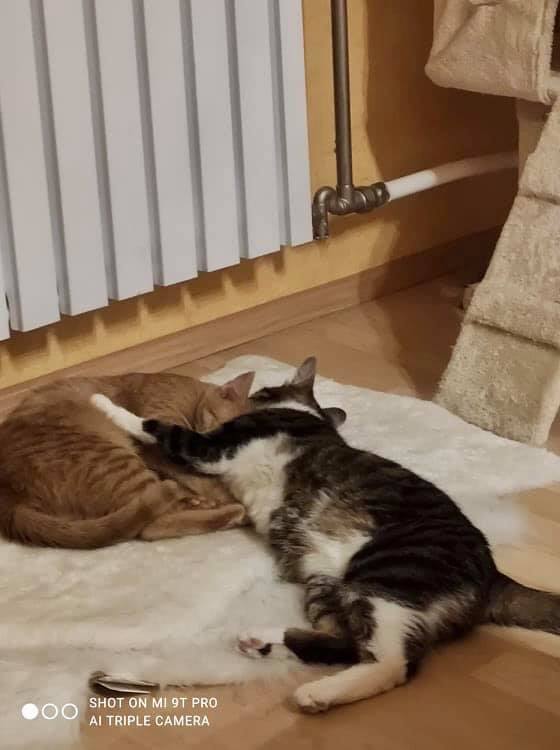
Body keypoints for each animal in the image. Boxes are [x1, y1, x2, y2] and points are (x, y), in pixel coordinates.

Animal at [91, 357, 560, 713]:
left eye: (262, 391)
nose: (251, 391)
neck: (308, 414)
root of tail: (495, 574)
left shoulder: (211, 447)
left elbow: (156, 427)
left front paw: (103, 403)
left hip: (387, 574)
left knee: (394, 664)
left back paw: (317, 694)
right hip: (324, 580)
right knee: (347, 644)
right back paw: (263, 642)